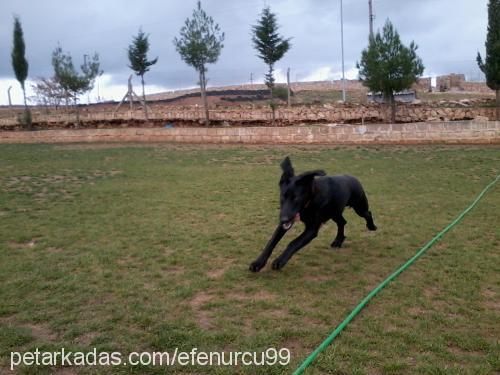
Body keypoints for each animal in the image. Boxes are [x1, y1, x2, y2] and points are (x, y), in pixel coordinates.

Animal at [248, 156, 376, 274]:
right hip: (334, 212)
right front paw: (258, 262)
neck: (310, 200)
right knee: (342, 222)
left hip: (359, 207)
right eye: (283, 196)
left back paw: (371, 226)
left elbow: (293, 243)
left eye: (296, 198)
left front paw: (280, 260)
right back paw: (338, 241)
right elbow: (271, 242)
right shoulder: (286, 221)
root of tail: (354, 178)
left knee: (367, 213)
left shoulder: (311, 229)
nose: (284, 219)